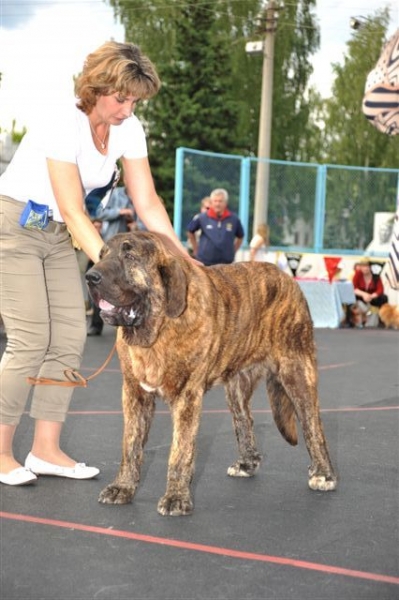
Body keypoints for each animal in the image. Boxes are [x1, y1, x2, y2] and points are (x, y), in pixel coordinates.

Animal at [86, 231, 338, 516]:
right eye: (101, 255)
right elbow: (130, 446)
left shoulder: (187, 397)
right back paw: (247, 463)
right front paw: (123, 487)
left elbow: (180, 451)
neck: (157, 329)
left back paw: (323, 474)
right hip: (237, 388)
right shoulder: (134, 393)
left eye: (129, 255)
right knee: (244, 421)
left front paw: (176, 497)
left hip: (297, 373)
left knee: (313, 426)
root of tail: (288, 279)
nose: (91, 276)